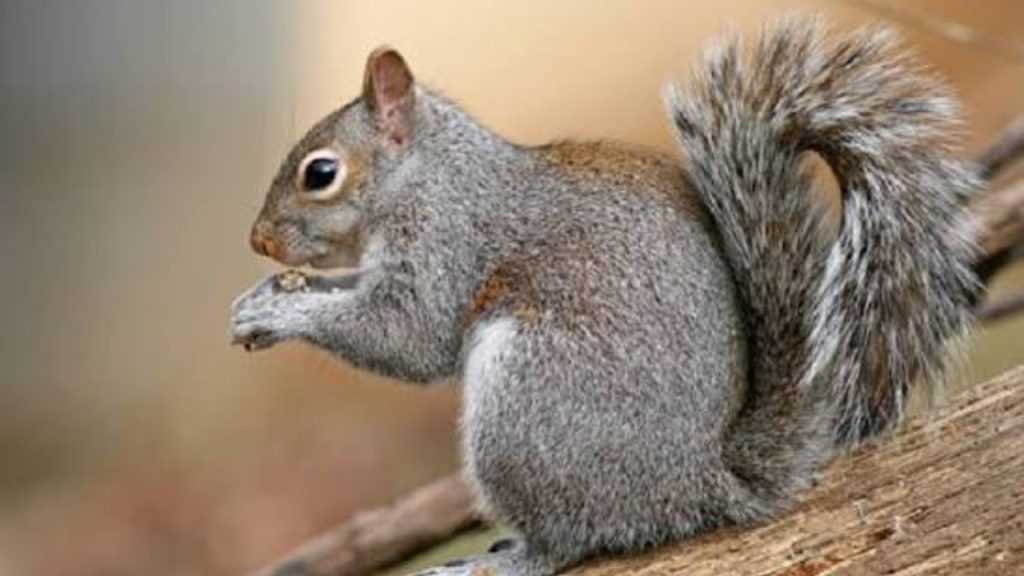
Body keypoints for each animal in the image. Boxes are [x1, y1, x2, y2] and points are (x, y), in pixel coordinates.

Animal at [231, 18, 980, 576]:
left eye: (320, 173)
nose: (259, 240)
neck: (427, 176)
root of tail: (699, 483)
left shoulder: (446, 244)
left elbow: (407, 339)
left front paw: (280, 310)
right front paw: (265, 295)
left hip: (529, 406)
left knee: (568, 543)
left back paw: (504, 559)